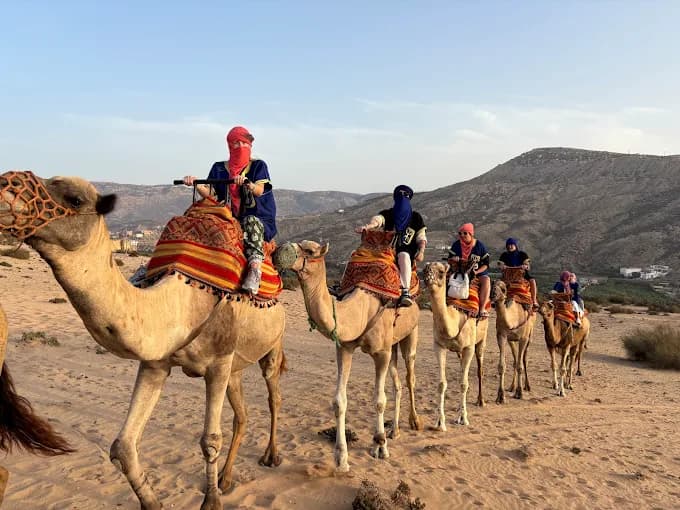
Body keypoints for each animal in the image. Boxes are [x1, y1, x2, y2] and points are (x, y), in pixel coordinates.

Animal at [275, 240, 423, 472]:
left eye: (309, 250)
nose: (279, 249)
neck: (360, 309)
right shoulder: (345, 347)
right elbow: (339, 401)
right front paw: (341, 458)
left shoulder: (381, 353)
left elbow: (379, 400)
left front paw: (379, 446)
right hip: (393, 345)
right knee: (398, 383)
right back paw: (395, 430)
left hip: (411, 333)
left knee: (410, 377)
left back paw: (414, 422)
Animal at [423, 262, 488, 429]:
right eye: (425, 268)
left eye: (441, 272)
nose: (427, 276)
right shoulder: (439, 345)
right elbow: (441, 384)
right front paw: (440, 422)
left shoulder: (468, 347)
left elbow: (463, 384)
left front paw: (463, 418)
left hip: (481, 339)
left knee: (479, 369)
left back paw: (480, 401)